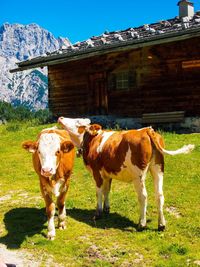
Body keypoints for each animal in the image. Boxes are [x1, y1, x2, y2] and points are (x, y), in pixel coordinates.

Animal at [57, 118, 194, 232]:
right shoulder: (108, 174)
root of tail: (147, 130)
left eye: (78, 122)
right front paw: (107, 209)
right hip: (158, 169)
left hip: (138, 176)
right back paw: (161, 225)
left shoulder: (97, 172)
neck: (92, 140)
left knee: (143, 196)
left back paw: (141, 223)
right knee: (159, 195)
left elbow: (99, 192)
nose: (61, 117)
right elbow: (107, 190)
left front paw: (98, 212)